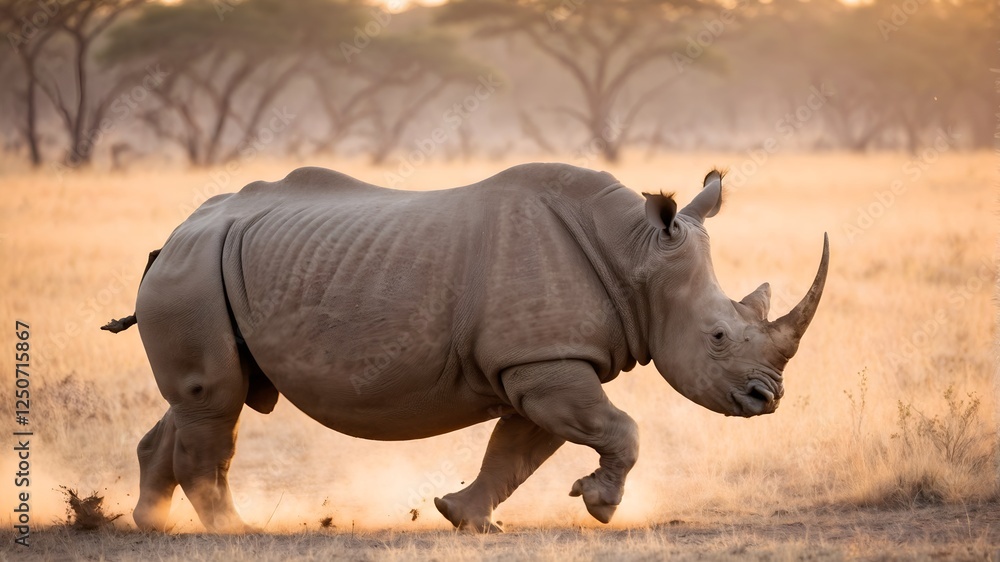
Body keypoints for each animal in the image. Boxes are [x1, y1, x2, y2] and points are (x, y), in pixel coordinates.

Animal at [103, 163, 828, 533]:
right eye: (718, 337)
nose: (767, 398)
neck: (635, 255)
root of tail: (175, 235)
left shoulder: (540, 359)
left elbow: (516, 451)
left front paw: (466, 519)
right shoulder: (543, 361)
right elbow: (619, 428)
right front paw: (599, 506)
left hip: (205, 273)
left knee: (202, 399)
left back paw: (152, 524)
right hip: (195, 274)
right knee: (214, 403)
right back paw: (236, 533)